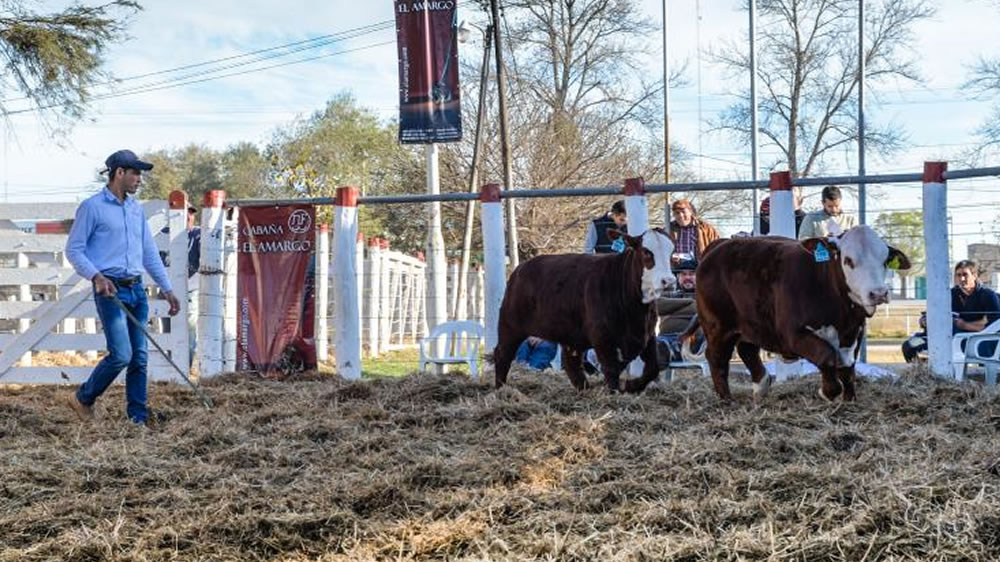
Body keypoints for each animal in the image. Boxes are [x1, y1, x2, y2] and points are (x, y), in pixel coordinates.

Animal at [494, 226, 680, 390]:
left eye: (671, 252)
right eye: (647, 252)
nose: (669, 281)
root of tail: (519, 269)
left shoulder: (647, 335)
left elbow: (652, 368)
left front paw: (631, 385)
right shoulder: (603, 338)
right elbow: (611, 370)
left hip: (570, 335)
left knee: (571, 363)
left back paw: (584, 388)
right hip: (510, 326)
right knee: (502, 354)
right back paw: (500, 388)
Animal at [696, 225, 908, 400]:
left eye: (885, 261)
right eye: (848, 260)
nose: (878, 293)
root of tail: (719, 244)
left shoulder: (855, 332)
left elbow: (848, 369)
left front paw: (849, 400)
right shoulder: (793, 335)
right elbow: (826, 356)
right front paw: (827, 392)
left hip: (752, 324)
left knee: (747, 350)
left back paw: (761, 386)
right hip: (718, 326)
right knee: (716, 358)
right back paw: (726, 400)